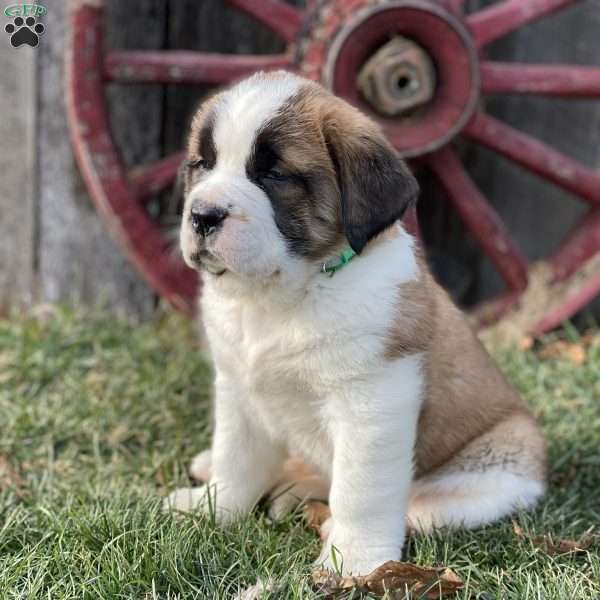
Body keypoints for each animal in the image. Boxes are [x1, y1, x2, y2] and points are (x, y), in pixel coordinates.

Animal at [165, 70, 548, 576]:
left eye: (273, 175)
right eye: (202, 165)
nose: (203, 215)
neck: (284, 296)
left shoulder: (372, 404)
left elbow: (360, 491)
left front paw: (353, 562)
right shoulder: (238, 389)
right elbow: (236, 457)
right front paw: (212, 509)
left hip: (498, 464)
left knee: (422, 507)